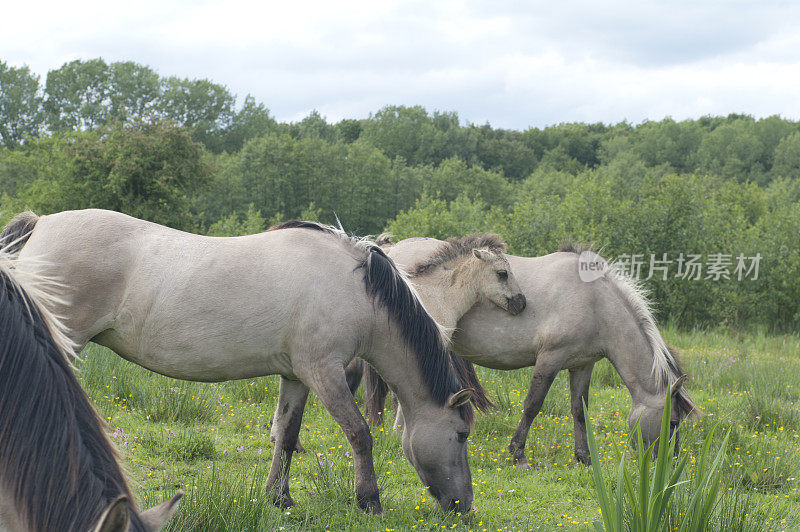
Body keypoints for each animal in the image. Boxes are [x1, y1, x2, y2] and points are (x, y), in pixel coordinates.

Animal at [362, 237, 692, 466]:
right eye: (673, 422)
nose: (671, 462)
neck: (595, 300)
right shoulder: (550, 358)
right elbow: (533, 405)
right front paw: (517, 453)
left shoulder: (582, 365)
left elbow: (579, 410)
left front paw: (583, 457)